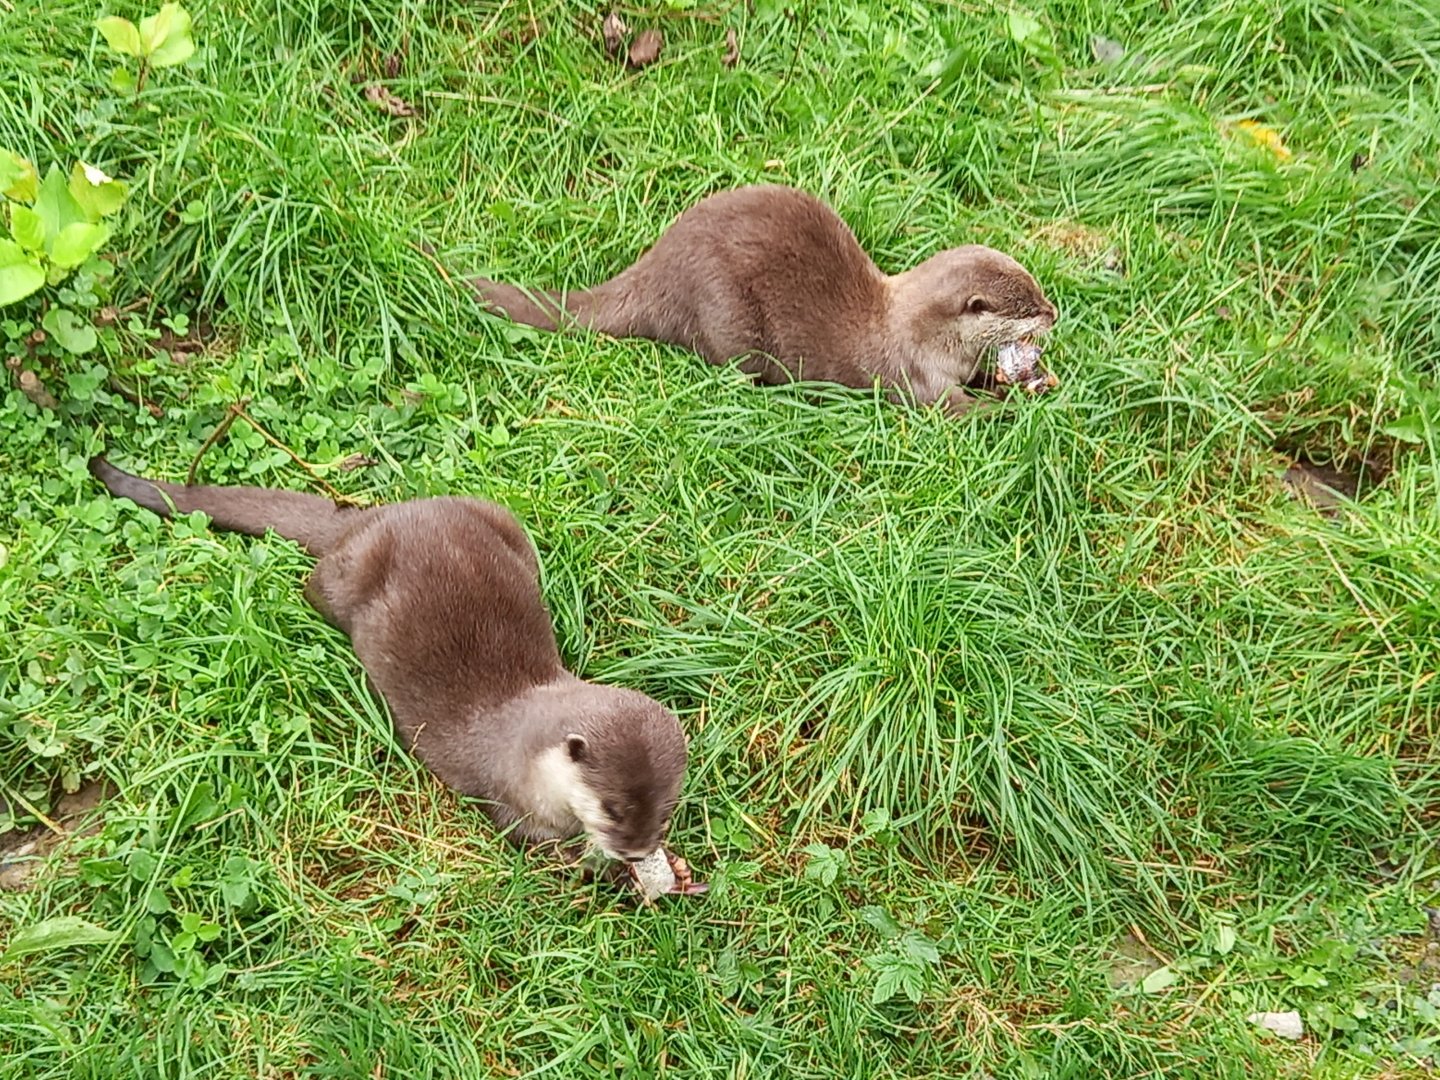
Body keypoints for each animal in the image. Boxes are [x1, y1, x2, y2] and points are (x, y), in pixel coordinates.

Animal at [88, 457, 688, 869]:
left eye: (664, 811)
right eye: (611, 808)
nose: (637, 852)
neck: (524, 750)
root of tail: (370, 519)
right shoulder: (506, 796)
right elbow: (529, 842)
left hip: (498, 516)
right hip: (342, 581)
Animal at [465, 185, 1059, 414]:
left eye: (1036, 290)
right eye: (1026, 305)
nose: (1054, 314)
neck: (920, 332)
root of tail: (659, 266)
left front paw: (1020, 380)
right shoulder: (917, 376)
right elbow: (960, 411)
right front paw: (1016, 407)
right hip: (725, 308)